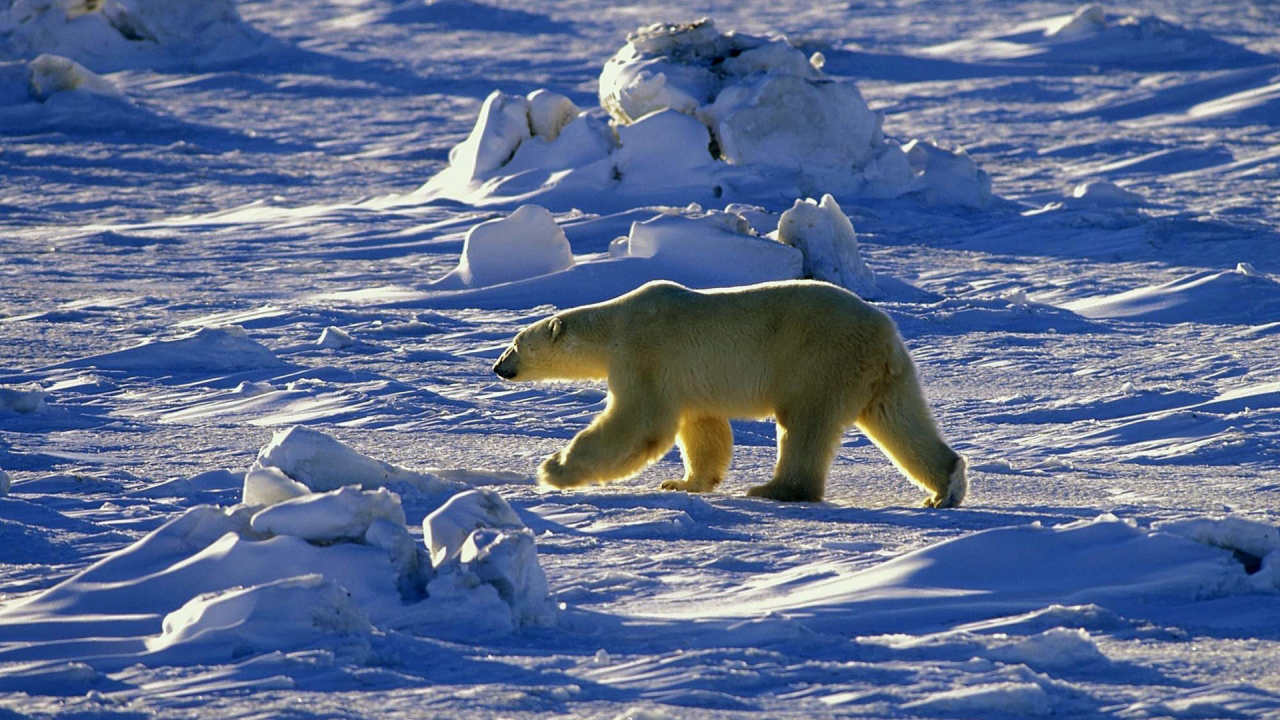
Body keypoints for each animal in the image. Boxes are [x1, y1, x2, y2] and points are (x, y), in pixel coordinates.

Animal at [491, 278, 967, 507]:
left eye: (515, 344)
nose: (497, 367)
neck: (616, 325)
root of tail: (885, 334)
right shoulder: (686, 380)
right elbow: (703, 429)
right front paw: (682, 482)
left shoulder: (646, 354)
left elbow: (640, 422)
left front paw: (553, 468)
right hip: (883, 375)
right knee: (900, 420)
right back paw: (944, 487)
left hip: (820, 359)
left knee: (805, 424)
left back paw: (774, 489)